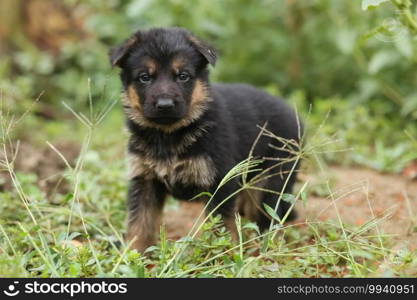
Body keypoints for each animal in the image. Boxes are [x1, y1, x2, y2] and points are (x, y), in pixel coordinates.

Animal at [109, 27, 300, 253]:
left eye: (183, 76)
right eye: (144, 77)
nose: (165, 105)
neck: (169, 134)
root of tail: (293, 114)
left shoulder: (219, 181)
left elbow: (220, 226)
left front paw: (219, 254)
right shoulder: (145, 179)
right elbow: (140, 222)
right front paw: (134, 253)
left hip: (271, 181)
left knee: (269, 217)